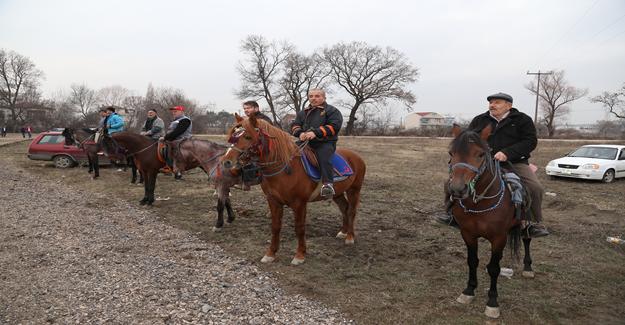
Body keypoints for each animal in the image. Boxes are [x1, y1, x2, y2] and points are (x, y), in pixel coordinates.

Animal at [221, 112, 366, 264]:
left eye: (248, 137)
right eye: (234, 135)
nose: (226, 161)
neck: (285, 168)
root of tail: (357, 157)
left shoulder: (299, 203)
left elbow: (300, 228)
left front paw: (300, 255)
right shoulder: (274, 201)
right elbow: (275, 227)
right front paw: (270, 254)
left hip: (354, 190)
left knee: (351, 211)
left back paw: (350, 237)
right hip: (337, 193)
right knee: (344, 208)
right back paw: (343, 232)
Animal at [448, 124, 532, 318]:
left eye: (480, 154)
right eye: (451, 153)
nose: (457, 189)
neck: (479, 202)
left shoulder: (499, 238)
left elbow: (494, 268)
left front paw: (492, 302)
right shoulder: (468, 234)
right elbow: (472, 261)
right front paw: (468, 291)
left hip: (526, 223)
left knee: (527, 239)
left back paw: (528, 267)